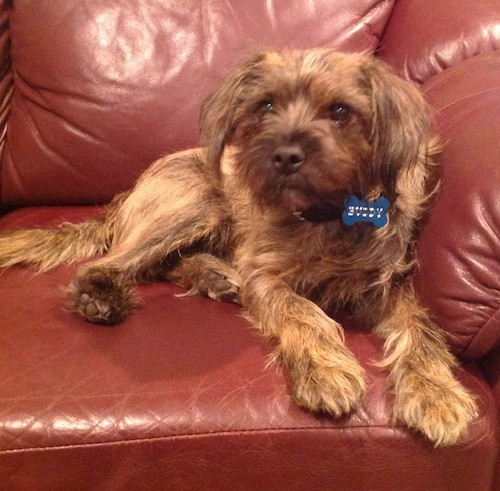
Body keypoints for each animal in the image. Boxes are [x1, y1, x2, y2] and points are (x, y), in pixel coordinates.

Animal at [0, 49, 476, 446]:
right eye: (265, 106)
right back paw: (104, 300)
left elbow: (420, 330)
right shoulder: (265, 274)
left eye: (340, 111)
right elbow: (302, 311)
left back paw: (216, 278)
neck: (327, 213)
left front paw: (436, 392)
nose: (283, 155)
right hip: (199, 200)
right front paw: (325, 368)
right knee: (112, 264)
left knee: (163, 264)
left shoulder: (387, 284)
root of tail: (125, 195)